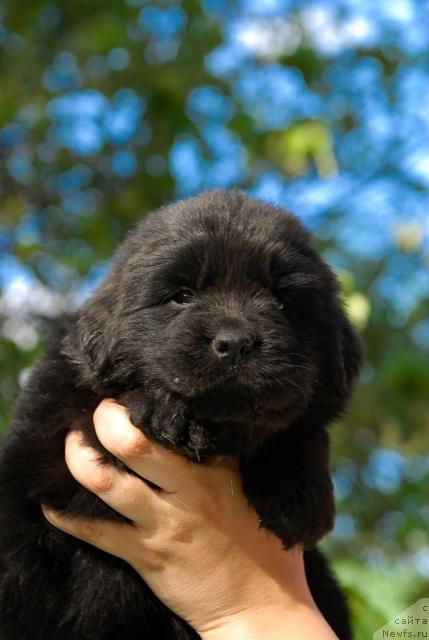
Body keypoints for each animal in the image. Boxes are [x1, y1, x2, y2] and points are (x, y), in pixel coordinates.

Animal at [0, 190, 362, 640]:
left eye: (282, 303)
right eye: (182, 296)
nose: (236, 342)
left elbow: (298, 425)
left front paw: (296, 492)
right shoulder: (47, 446)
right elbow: (88, 414)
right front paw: (162, 408)